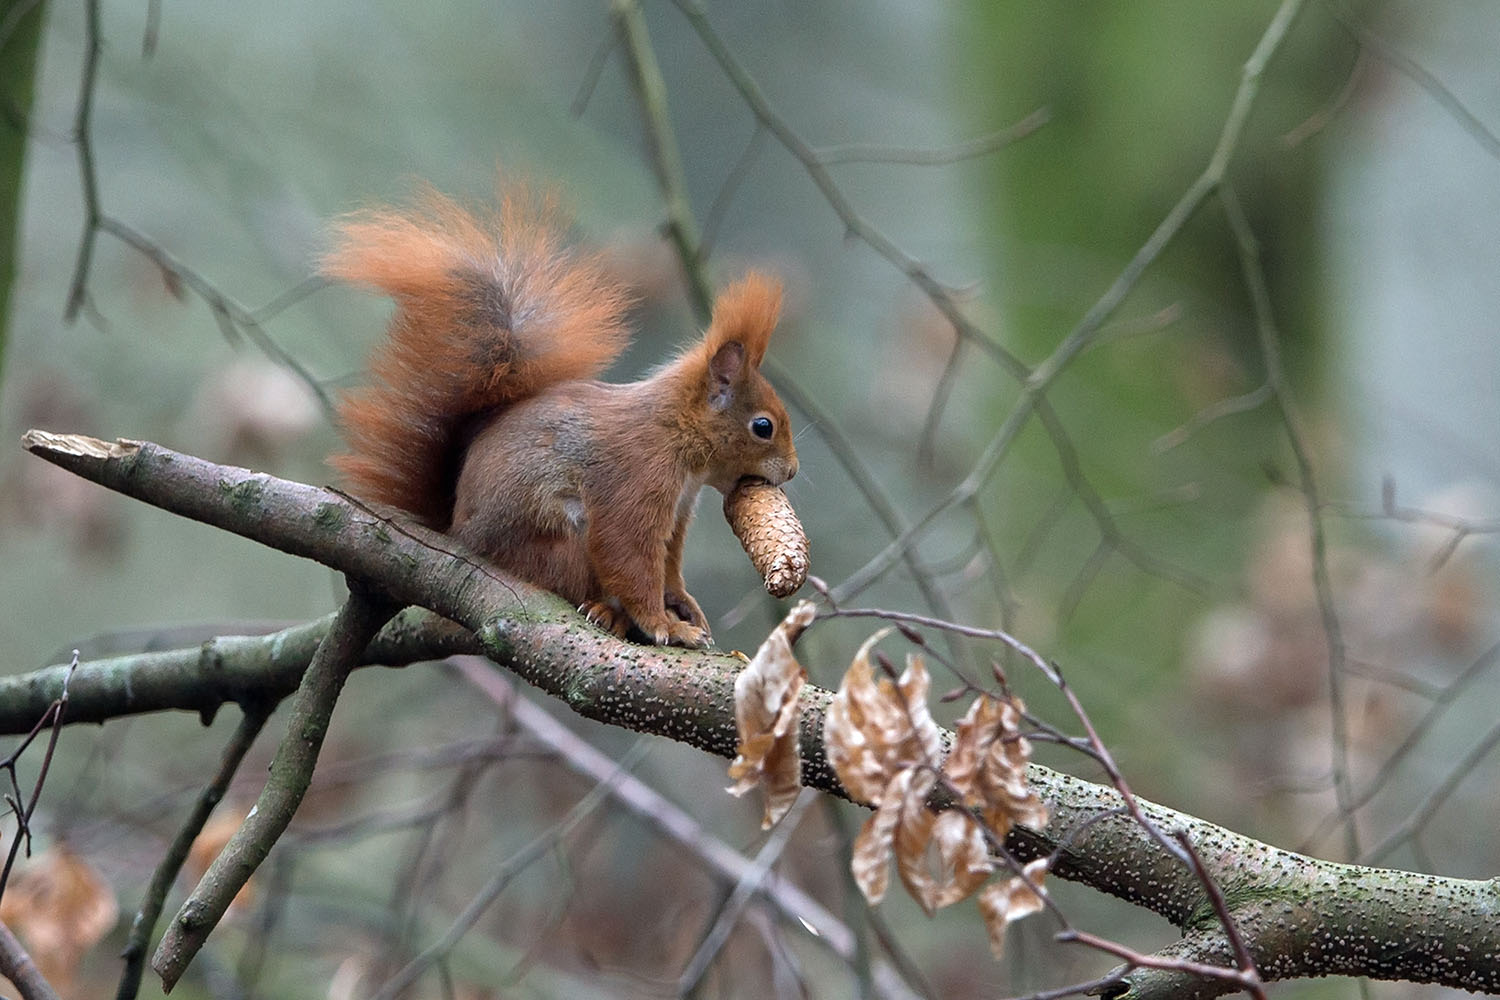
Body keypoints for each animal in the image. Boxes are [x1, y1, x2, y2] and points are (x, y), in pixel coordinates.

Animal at [325, 187, 798, 650]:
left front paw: (683, 604)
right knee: (572, 583)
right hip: (558, 547)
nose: (792, 471)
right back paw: (607, 611)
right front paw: (664, 624)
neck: (676, 434)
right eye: (763, 426)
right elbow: (630, 557)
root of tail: (456, 531)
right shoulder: (636, 481)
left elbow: (668, 565)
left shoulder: (679, 510)